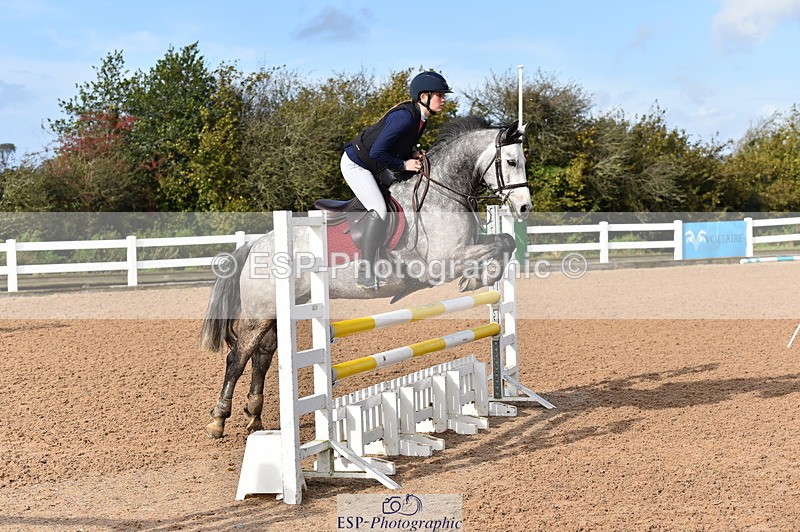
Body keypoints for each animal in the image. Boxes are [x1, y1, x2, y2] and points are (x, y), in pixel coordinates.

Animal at [199, 116, 532, 438]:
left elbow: (505, 242)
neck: (442, 194)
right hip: (259, 314)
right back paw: (218, 420)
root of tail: (256, 244)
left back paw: (254, 419)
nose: (524, 207)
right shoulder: (441, 263)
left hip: (279, 312)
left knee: (262, 357)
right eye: (511, 161)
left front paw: (482, 277)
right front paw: (475, 279)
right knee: (238, 359)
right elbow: (496, 246)